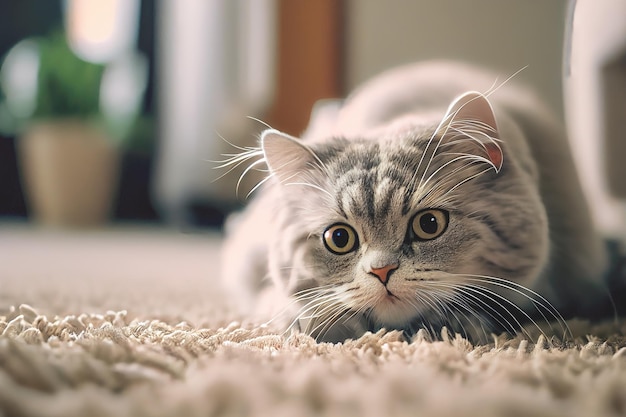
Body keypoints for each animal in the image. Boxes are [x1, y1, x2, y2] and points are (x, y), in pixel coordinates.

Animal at [218, 61, 604, 342]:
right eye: (339, 238)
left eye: (429, 224)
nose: (382, 271)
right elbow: (280, 300)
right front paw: (312, 322)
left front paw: (455, 324)